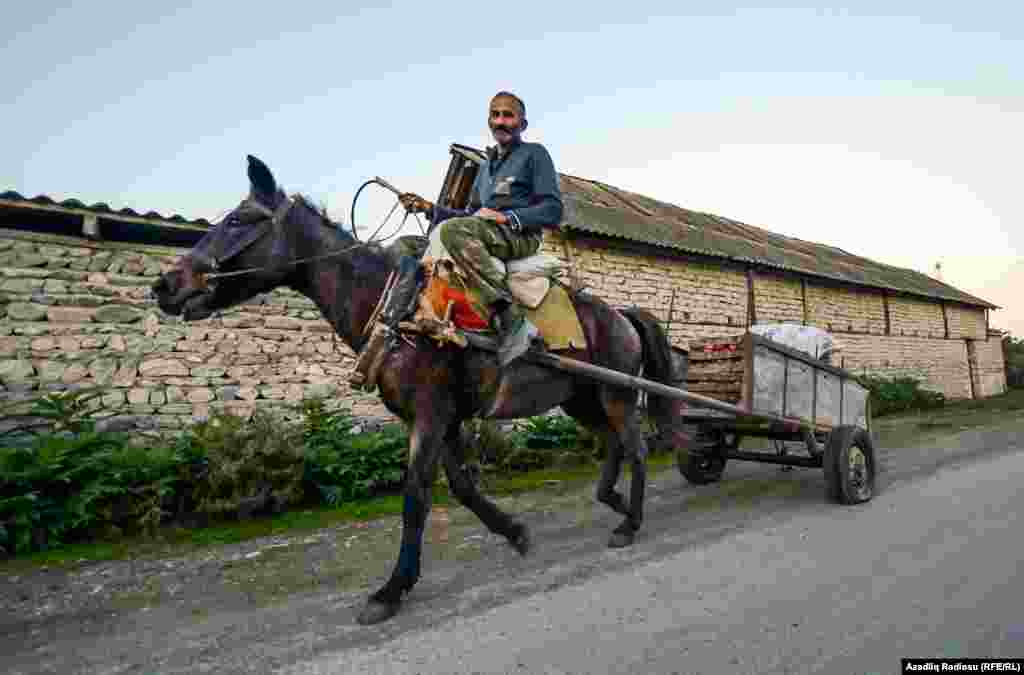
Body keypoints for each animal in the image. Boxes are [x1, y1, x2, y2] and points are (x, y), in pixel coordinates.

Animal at [151, 155, 692, 626]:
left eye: (239, 220)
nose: (164, 286)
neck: (401, 309)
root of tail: (620, 314)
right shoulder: (439, 418)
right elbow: (463, 488)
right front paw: (515, 532)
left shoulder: (431, 416)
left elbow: (415, 498)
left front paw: (391, 590)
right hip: (581, 398)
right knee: (613, 442)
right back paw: (612, 500)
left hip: (617, 394)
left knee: (636, 446)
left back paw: (630, 521)